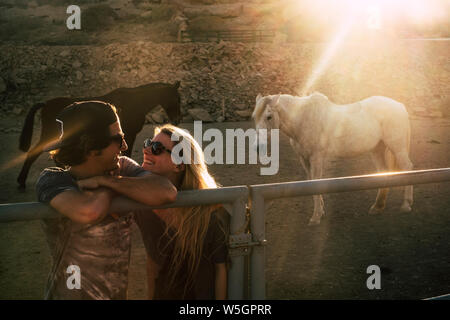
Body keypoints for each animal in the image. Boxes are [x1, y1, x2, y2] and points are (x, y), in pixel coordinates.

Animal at [18, 81, 181, 189]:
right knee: (34, 153)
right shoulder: (130, 134)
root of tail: (45, 104)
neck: (135, 103)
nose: (177, 120)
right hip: (49, 135)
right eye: (176, 98)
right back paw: (21, 181)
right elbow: (126, 153)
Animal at [251, 91, 414, 224]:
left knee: (407, 168)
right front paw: (321, 211)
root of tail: (400, 106)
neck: (303, 119)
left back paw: (406, 204)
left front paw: (316, 217)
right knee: (383, 172)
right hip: (377, 149)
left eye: (269, 116)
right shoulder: (304, 159)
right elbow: (310, 182)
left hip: (397, 148)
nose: (258, 147)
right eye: (254, 117)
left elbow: (316, 182)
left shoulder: (316, 157)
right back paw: (377, 207)